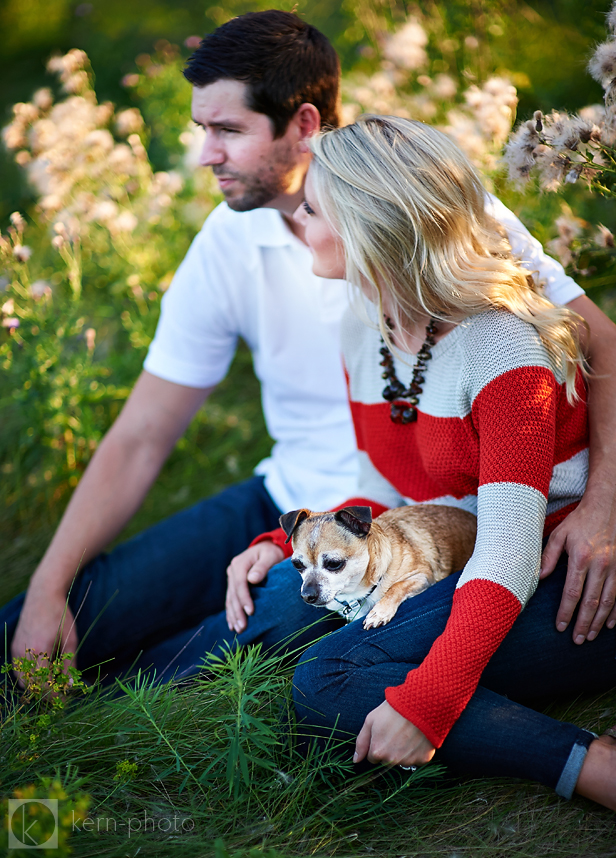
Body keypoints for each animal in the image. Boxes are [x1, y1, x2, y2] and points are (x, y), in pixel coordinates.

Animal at [280, 502, 476, 628]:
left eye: (334, 564)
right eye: (297, 565)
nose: (307, 595)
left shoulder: (423, 576)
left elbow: (396, 587)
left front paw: (379, 612)